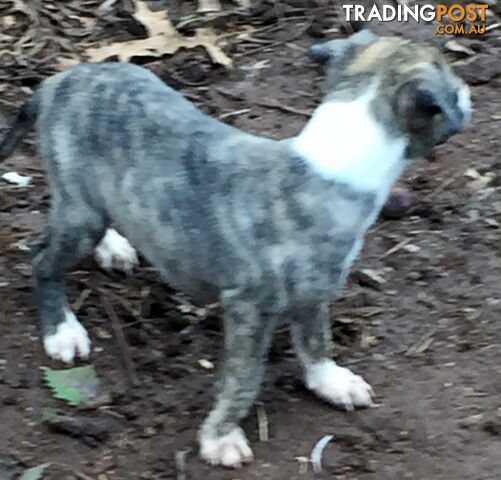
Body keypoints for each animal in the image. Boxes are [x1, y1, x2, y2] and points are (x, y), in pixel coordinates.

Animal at [0, 30, 468, 468]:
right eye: (453, 83)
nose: (468, 93)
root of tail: (56, 81)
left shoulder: (315, 289)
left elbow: (316, 339)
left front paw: (330, 381)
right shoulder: (248, 309)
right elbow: (244, 379)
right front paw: (219, 437)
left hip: (92, 199)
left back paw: (114, 247)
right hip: (79, 215)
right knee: (42, 260)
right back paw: (62, 331)